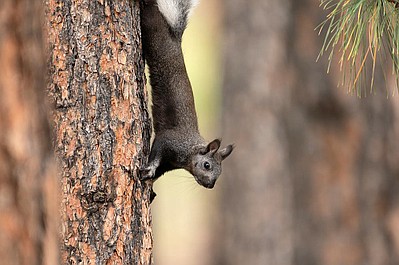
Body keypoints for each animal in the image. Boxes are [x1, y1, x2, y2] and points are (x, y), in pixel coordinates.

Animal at [141, 0, 234, 198]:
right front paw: (150, 169)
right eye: (207, 165)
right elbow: (156, 152)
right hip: (151, 26)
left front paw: (151, 187)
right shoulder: (169, 140)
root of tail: (175, 38)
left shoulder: (169, 165)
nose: (210, 185)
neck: (189, 152)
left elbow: (159, 171)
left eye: (220, 171)